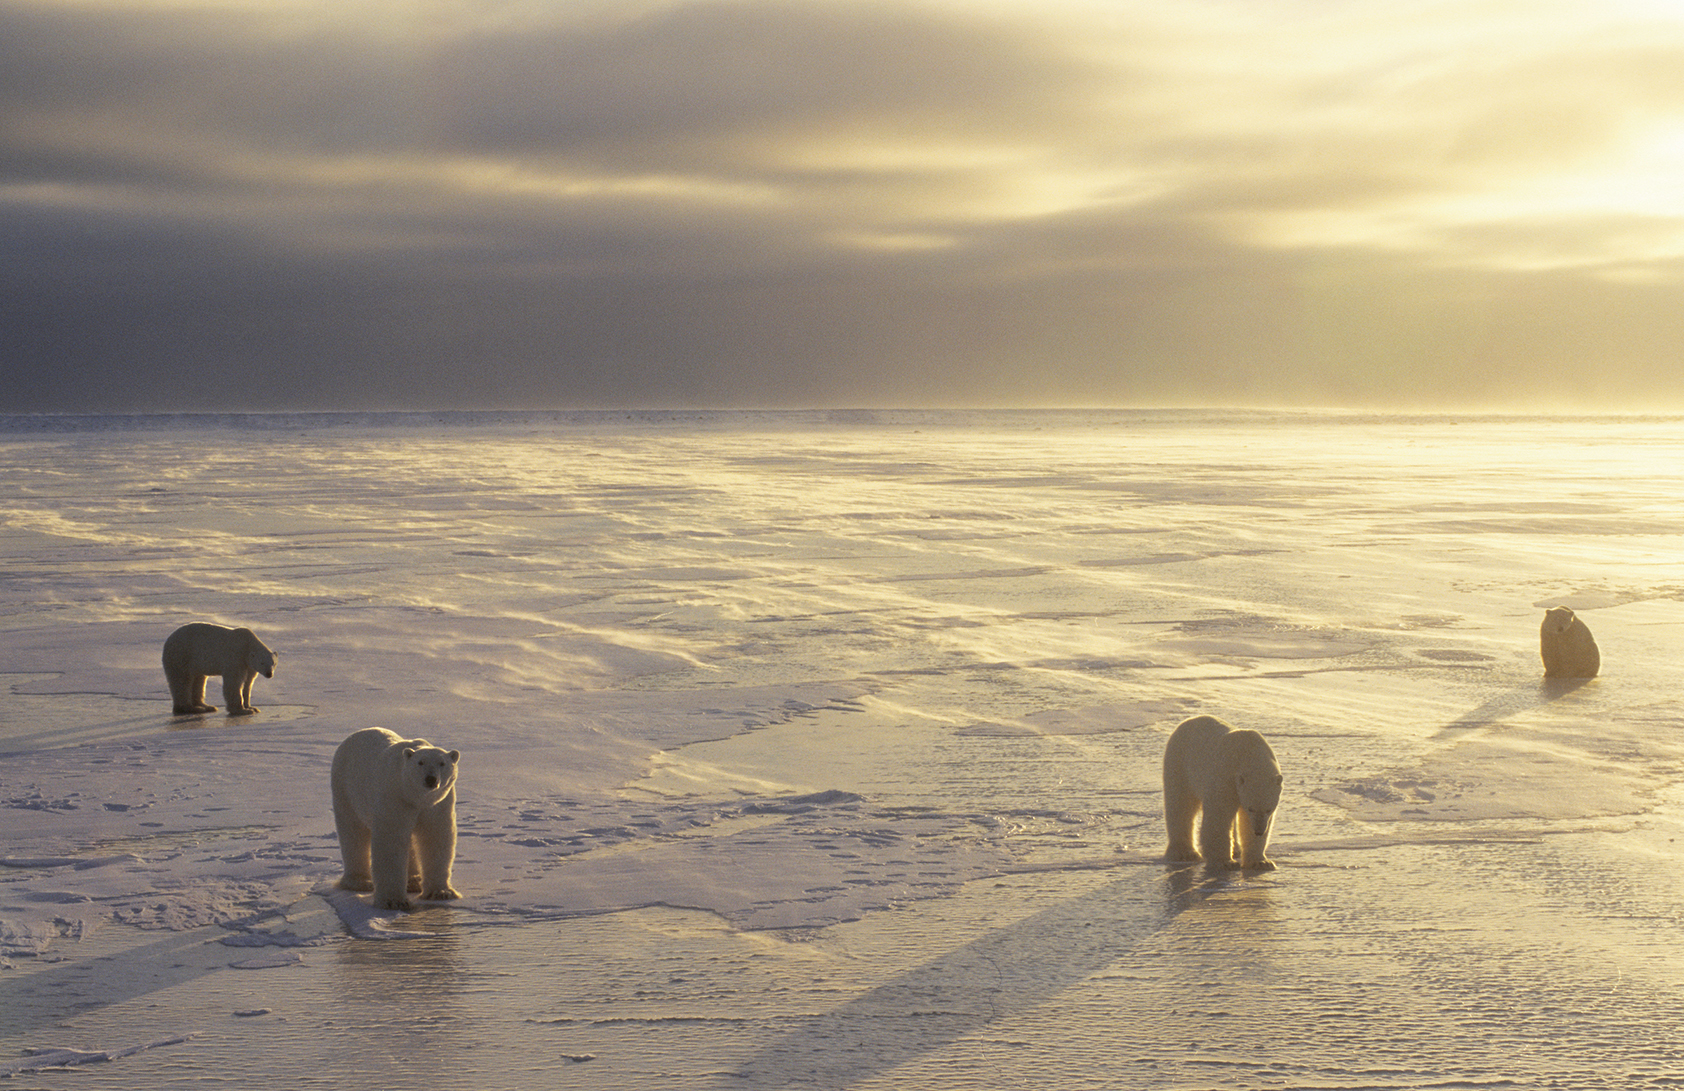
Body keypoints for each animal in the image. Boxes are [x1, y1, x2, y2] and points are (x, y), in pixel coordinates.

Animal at [330, 726, 461, 912]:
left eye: (442, 763)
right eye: (420, 762)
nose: (431, 779)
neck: (414, 797)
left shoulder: (437, 805)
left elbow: (435, 838)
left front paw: (441, 892)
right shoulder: (395, 797)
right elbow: (391, 840)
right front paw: (393, 901)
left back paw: (414, 881)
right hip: (346, 788)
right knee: (353, 833)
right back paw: (360, 881)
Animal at [1162, 714, 1283, 871]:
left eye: (1269, 809)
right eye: (1251, 808)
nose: (1258, 831)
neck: (1249, 751)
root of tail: (1188, 720)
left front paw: (1261, 862)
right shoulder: (1226, 775)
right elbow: (1219, 815)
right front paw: (1225, 862)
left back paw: (1236, 850)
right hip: (1180, 765)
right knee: (1181, 806)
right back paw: (1185, 853)